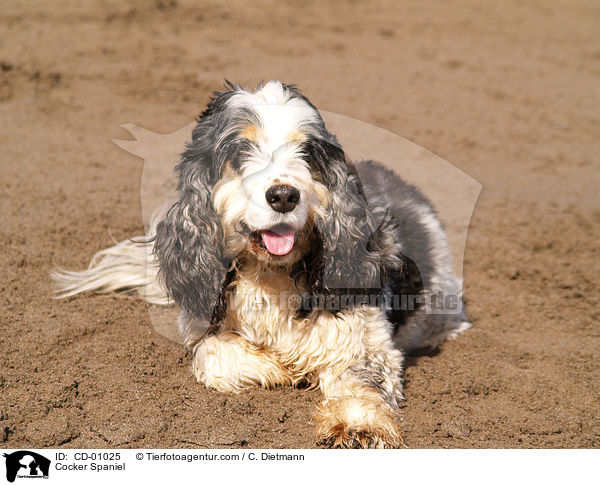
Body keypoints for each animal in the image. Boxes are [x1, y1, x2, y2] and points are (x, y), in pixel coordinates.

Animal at [54, 79, 472, 446]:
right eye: (241, 150)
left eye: (307, 154)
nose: (284, 195)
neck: (272, 275)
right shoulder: (202, 324)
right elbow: (214, 357)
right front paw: (280, 368)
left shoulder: (366, 336)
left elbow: (361, 380)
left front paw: (358, 425)